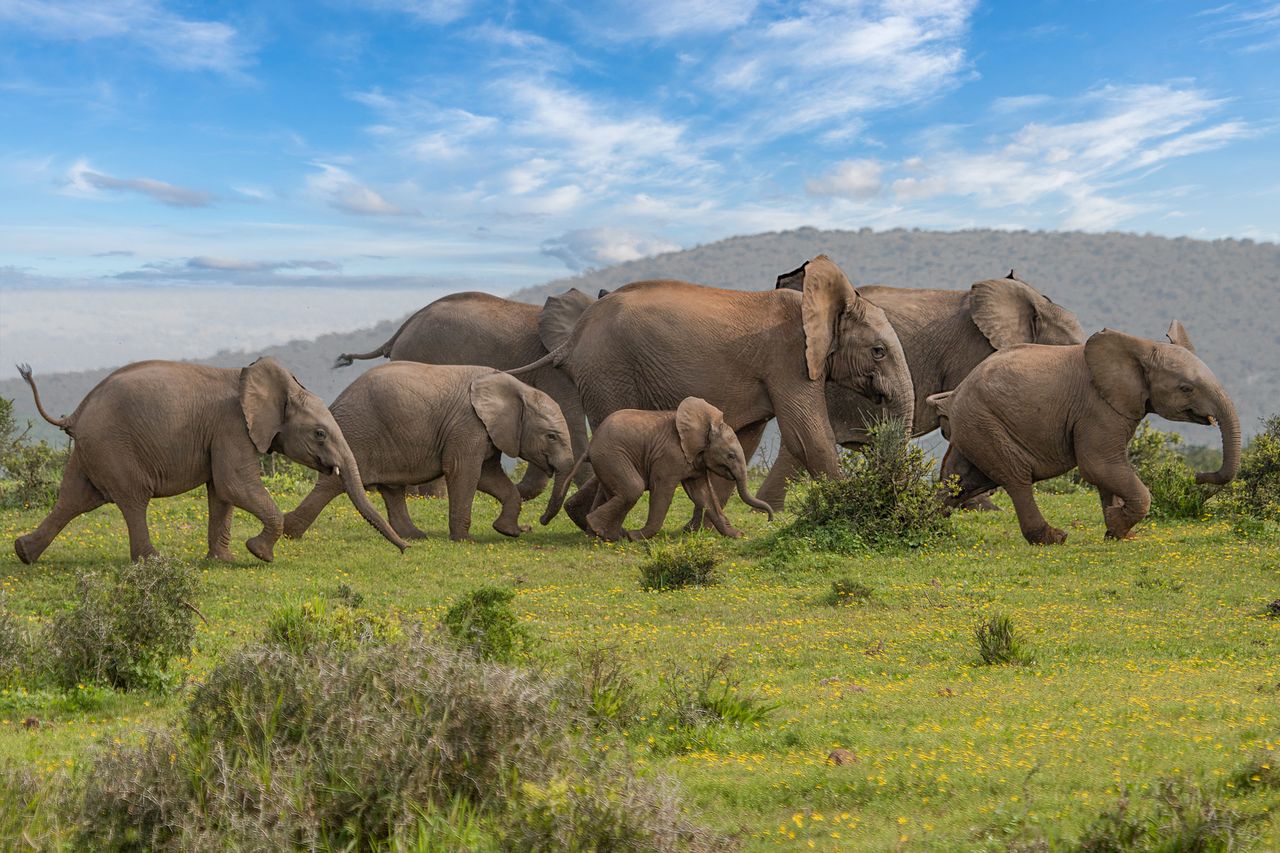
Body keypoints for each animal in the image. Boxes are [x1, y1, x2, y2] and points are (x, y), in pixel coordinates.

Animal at [13, 359, 407, 564]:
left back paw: (24, 554)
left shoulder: (222, 434)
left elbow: (222, 492)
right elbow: (234, 484)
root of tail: (77, 413)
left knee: (73, 500)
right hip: (113, 446)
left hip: (91, 450)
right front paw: (260, 555)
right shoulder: (232, 427)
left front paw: (224, 561)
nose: (406, 549)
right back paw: (154, 562)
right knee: (132, 498)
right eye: (321, 434)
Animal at [282, 363, 574, 543]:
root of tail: (336, 402)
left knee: (392, 489)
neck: (518, 388)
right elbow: (463, 471)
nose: (537, 523)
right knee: (333, 483)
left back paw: (415, 536)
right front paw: (466, 541)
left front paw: (508, 531)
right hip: (357, 433)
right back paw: (288, 531)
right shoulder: (468, 425)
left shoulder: (485, 431)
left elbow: (487, 476)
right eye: (552, 436)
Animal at [510, 255, 916, 520]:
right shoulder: (788, 359)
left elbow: (746, 439)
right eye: (878, 351)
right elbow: (808, 436)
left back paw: (580, 520)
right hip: (608, 370)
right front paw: (851, 507)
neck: (817, 304)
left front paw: (704, 527)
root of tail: (574, 336)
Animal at [540, 397, 773, 541]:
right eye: (731, 455)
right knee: (632, 488)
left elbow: (703, 495)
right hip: (612, 456)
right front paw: (637, 536)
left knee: (613, 492)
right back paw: (612, 534)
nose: (770, 519)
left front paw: (736, 535)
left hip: (606, 461)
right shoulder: (668, 457)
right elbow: (662, 493)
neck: (704, 424)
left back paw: (603, 535)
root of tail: (590, 446)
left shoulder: (694, 461)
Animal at [927, 321, 1240, 544]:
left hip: (974, 425)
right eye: (1186, 388)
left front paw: (1118, 533)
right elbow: (1099, 465)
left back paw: (933, 523)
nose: (1198, 476)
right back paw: (1053, 538)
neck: (1141, 347)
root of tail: (954, 396)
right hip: (984, 422)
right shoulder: (1097, 408)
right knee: (1016, 476)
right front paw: (1117, 523)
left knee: (960, 480)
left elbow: (1108, 471)